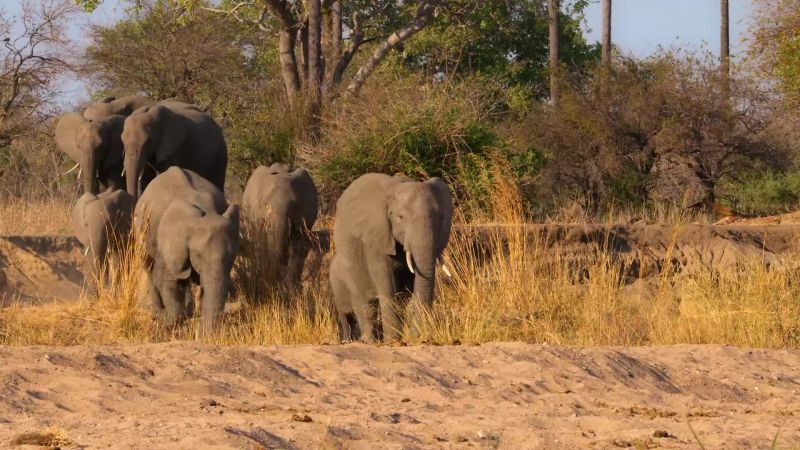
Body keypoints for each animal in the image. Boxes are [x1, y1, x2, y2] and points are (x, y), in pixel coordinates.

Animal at [133, 167, 239, 331]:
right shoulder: (168, 243)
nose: (204, 333)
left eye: (232, 256)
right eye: (198, 255)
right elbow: (167, 281)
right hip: (141, 228)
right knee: (148, 267)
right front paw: (165, 319)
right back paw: (158, 312)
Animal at [241, 163, 319, 293]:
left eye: (294, 206)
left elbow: (297, 244)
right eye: (265, 205)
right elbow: (260, 239)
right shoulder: (255, 212)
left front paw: (293, 290)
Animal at [329, 173, 453, 342]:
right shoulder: (375, 239)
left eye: (441, 218)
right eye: (401, 217)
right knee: (362, 299)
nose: (418, 338)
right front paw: (392, 341)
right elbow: (386, 283)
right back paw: (370, 341)